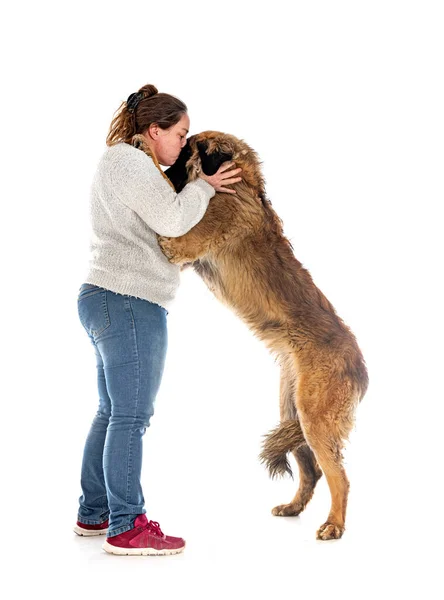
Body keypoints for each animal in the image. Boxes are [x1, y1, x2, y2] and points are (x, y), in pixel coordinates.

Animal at [131, 130, 368, 540]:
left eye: (185, 149)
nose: (167, 158)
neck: (240, 183)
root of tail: (359, 361)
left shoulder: (178, 242)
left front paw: (142, 146)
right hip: (293, 412)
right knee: (313, 471)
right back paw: (293, 508)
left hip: (315, 419)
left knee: (340, 477)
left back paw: (333, 525)